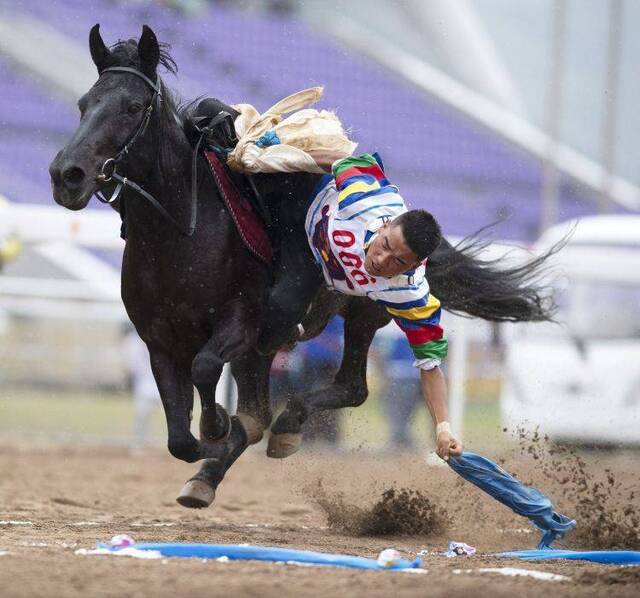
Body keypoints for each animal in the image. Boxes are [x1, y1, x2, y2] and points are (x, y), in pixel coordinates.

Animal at [50, 24, 556, 510]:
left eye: (133, 106)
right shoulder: (158, 342)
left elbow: (207, 370)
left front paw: (215, 426)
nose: (66, 175)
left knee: (344, 390)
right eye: (83, 103)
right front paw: (207, 443)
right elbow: (179, 438)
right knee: (265, 412)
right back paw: (211, 474)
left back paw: (284, 427)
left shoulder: (243, 325)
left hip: (358, 315)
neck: (179, 235)